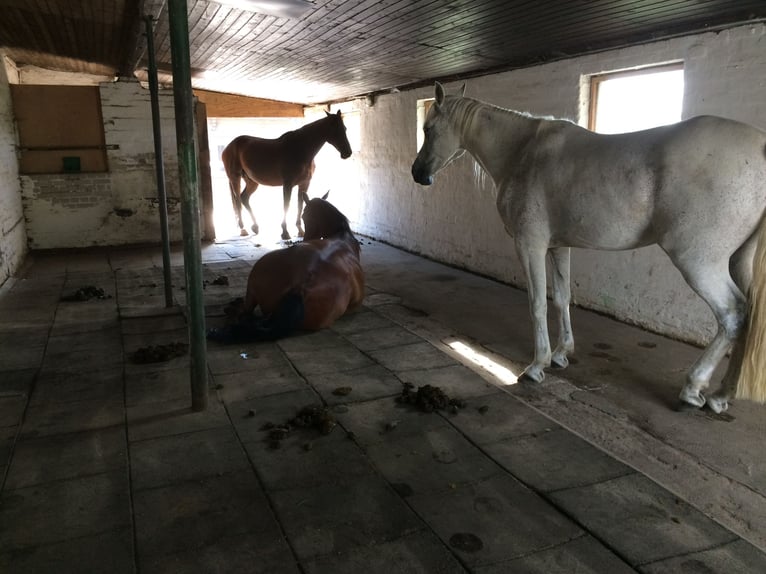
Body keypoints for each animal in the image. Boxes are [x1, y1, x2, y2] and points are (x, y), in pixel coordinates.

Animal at [207, 192, 364, 342]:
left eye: (304, 216)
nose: (306, 238)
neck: (342, 235)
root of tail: (300, 288)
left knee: (247, 312)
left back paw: (233, 308)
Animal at [221, 111, 352, 240]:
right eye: (335, 129)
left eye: (345, 128)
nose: (347, 153)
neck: (301, 149)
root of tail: (228, 147)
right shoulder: (288, 184)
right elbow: (286, 205)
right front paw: (285, 232)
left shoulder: (304, 184)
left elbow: (300, 204)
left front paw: (300, 230)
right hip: (235, 178)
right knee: (238, 201)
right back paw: (243, 229)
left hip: (252, 182)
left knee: (244, 198)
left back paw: (255, 226)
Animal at [412, 81, 766, 413]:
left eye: (428, 129)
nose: (418, 174)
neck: (522, 151)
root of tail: (759, 145)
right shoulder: (558, 247)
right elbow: (562, 298)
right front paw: (561, 354)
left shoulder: (529, 245)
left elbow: (537, 303)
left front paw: (537, 365)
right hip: (738, 261)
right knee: (748, 316)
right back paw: (721, 395)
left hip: (698, 262)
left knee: (732, 314)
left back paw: (693, 388)